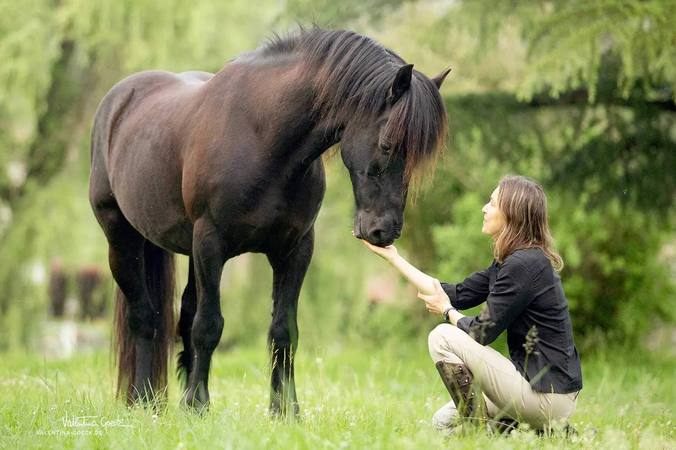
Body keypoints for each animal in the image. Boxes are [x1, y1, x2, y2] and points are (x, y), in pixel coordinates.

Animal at [89, 27, 450, 415]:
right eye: (387, 144)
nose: (384, 231)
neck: (262, 137)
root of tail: (118, 100)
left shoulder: (294, 249)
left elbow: (283, 330)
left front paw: (285, 409)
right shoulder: (210, 244)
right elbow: (209, 325)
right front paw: (200, 405)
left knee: (183, 315)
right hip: (122, 240)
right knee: (145, 318)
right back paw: (142, 400)